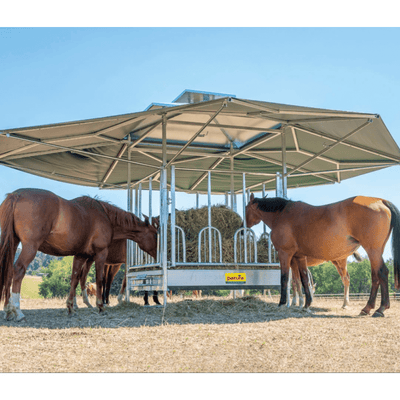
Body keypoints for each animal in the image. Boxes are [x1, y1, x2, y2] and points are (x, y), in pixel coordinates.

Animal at [0, 188, 159, 322]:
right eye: (155, 234)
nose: (159, 254)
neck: (105, 216)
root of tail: (16, 195)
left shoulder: (81, 255)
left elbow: (75, 279)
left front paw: (71, 307)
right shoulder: (100, 254)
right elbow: (99, 280)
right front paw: (100, 306)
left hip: (13, 244)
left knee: (8, 272)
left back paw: (8, 310)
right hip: (30, 247)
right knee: (18, 270)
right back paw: (17, 311)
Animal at [245, 192, 400, 318]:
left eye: (246, 209)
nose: (245, 225)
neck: (282, 214)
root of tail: (380, 201)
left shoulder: (285, 254)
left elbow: (285, 278)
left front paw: (283, 303)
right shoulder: (299, 257)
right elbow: (303, 279)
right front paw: (306, 304)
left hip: (372, 250)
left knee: (381, 273)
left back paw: (379, 308)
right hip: (374, 252)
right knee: (375, 276)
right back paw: (369, 308)